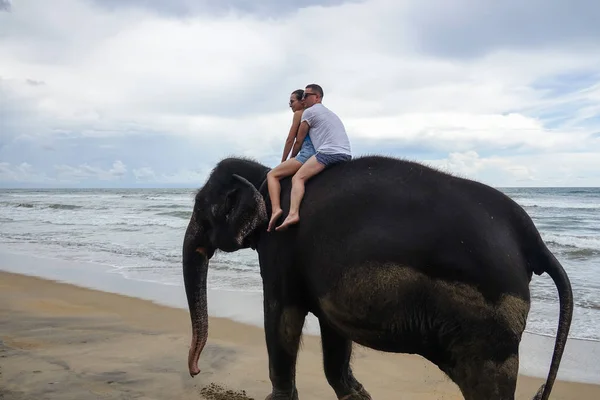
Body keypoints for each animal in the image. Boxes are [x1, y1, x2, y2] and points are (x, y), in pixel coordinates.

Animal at [182, 155, 572, 400]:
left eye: (202, 209)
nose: (195, 371)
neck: (267, 176)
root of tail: (534, 242)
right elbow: (333, 335)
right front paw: (358, 395)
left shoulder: (280, 245)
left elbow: (282, 320)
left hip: (488, 326)